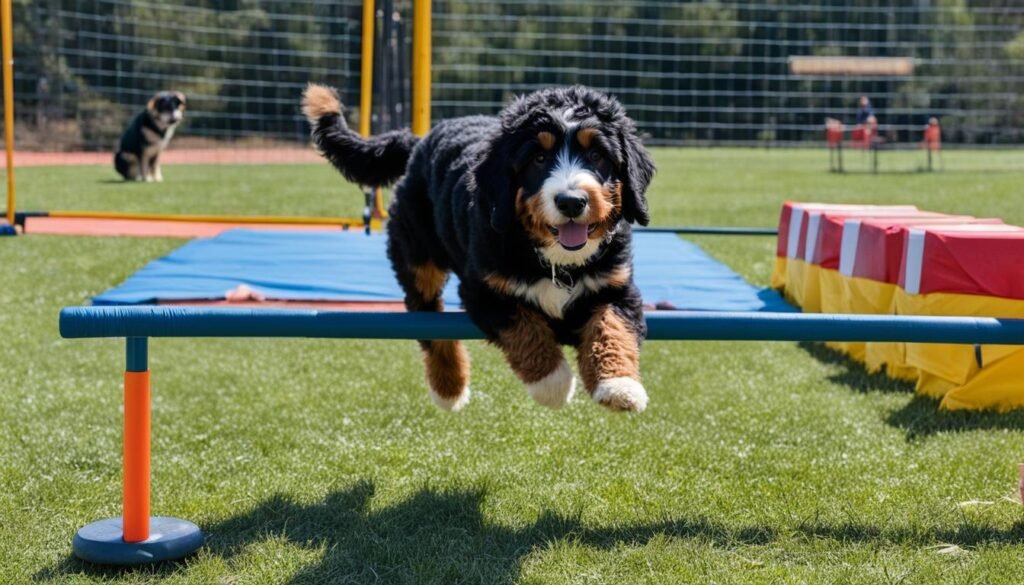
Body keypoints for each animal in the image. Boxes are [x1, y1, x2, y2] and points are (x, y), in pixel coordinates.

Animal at [303, 83, 655, 411]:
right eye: (539, 158)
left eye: (596, 156)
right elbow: (526, 330)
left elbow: (611, 328)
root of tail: (420, 141)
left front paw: (620, 386)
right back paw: (449, 388)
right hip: (417, 253)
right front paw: (553, 384)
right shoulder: (485, 289)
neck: (555, 260)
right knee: (428, 318)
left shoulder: (616, 286)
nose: (571, 201)